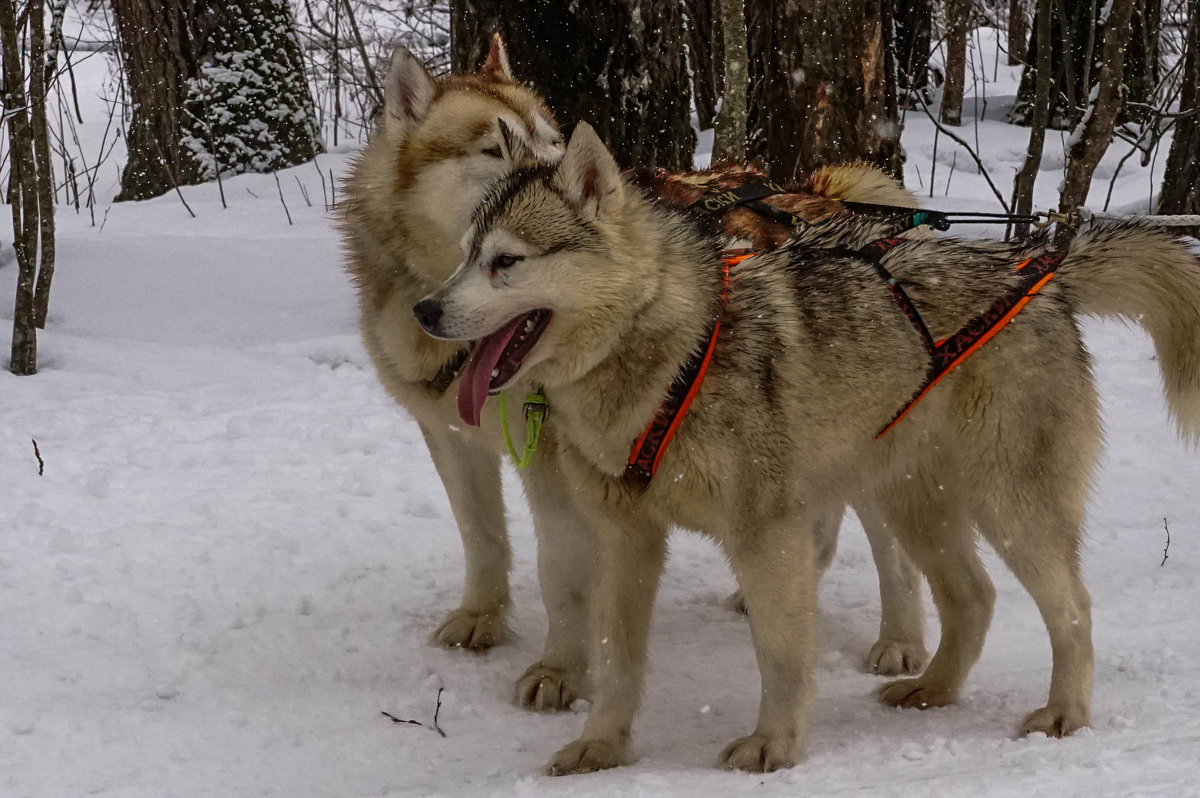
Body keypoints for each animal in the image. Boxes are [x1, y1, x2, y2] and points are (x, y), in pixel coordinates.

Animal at [343, 35, 931, 696]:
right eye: (496, 149)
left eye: (553, 138)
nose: (609, 181)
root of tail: (829, 195)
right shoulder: (450, 439)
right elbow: (483, 536)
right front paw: (481, 616)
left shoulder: (554, 463)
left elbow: (558, 571)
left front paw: (560, 670)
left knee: (892, 547)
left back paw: (901, 640)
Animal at [415, 124, 1200, 772]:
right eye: (465, 256)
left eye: (506, 261)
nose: (425, 308)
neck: (673, 356)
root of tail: (1037, 269)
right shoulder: (623, 539)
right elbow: (616, 662)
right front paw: (600, 747)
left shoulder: (768, 539)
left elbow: (782, 655)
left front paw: (776, 746)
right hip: (920, 508)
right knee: (973, 598)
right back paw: (933, 688)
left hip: (1012, 511)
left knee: (1073, 608)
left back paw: (1065, 711)